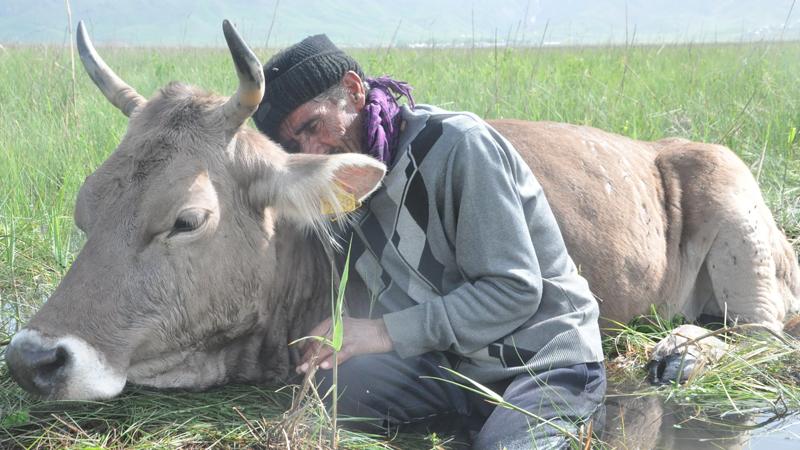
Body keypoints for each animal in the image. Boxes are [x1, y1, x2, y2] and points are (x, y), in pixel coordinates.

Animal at [6, 21, 800, 400]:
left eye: (186, 219)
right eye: (84, 209)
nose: (30, 358)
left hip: (735, 206)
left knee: (763, 332)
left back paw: (682, 350)